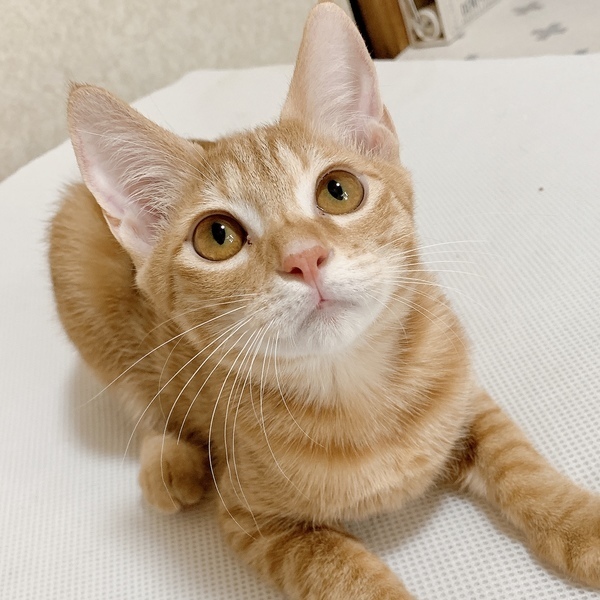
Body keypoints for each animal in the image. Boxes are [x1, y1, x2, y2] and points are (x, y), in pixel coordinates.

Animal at [49, 2, 600, 599]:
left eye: (339, 190)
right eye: (217, 237)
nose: (305, 257)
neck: (357, 392)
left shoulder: (467, 399)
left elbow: (520, 465)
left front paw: (582, 523)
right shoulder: (252, 523)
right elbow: (342, 573)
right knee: (141, 398)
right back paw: (169, 460)